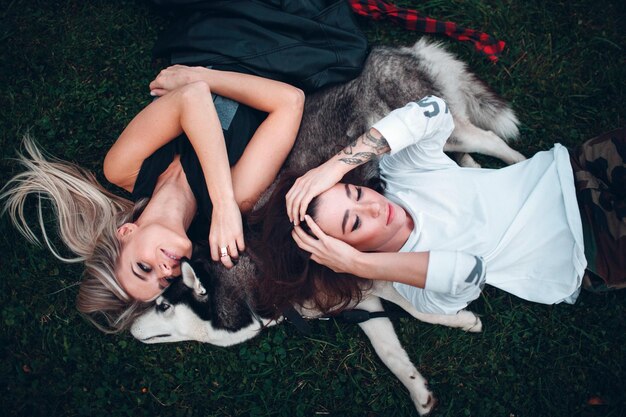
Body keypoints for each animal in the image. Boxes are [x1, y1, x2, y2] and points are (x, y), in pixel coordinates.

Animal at [130, 38, 516, 412]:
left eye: (163, 305)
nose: (130, 327)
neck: (260, 268)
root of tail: (389, 50)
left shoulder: (371, 272)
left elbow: (415, 309)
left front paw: (463, 321)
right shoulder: (360, 301)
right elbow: (388, 349)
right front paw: (418, 392)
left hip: (445, 127)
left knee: (490, 140)